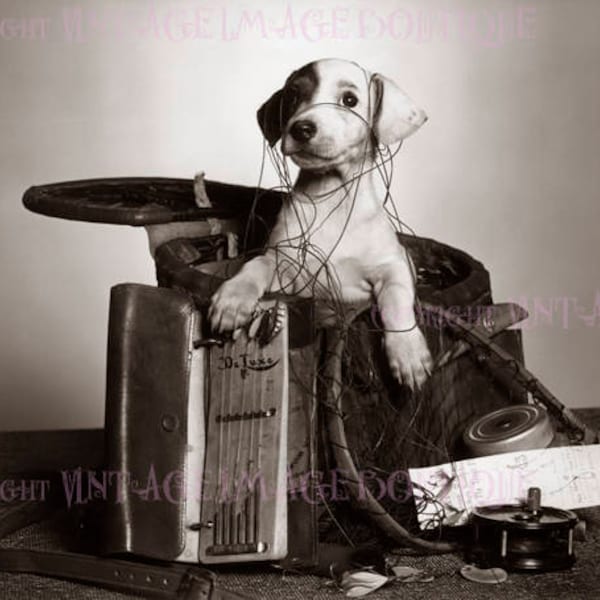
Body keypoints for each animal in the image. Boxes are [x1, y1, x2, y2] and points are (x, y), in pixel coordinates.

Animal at [210, 58, 432, 390]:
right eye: (293, 96)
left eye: (349, 100)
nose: (300, 128)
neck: (331, 198)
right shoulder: (285, 265)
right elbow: (255, 265)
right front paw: (233, 298)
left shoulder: (394, 264)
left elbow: (396, 297)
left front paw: (407, 352)